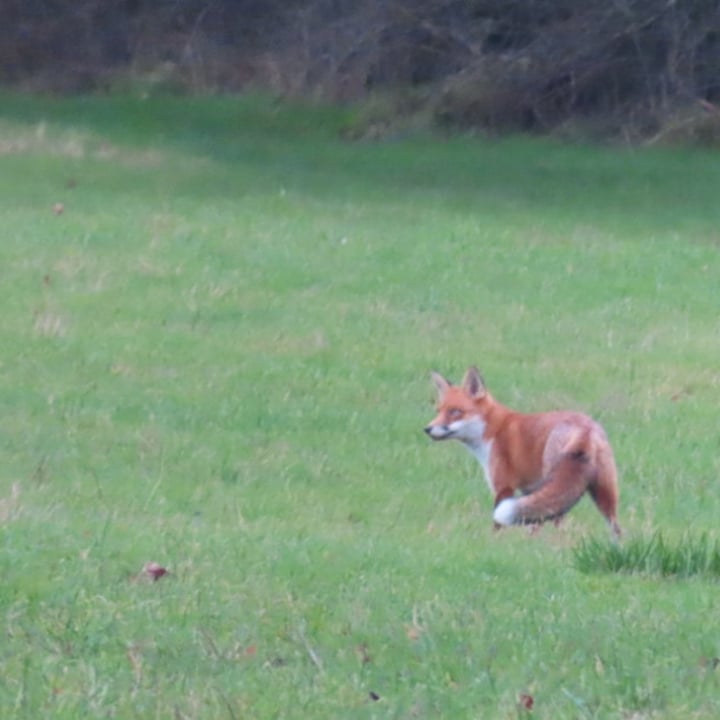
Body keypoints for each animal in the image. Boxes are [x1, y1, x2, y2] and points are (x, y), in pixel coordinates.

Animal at [424, 368, 620, 536]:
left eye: (455, 412)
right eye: (438, 411)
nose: (427, 429)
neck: (493, 431)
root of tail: (585, 429)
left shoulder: (503, 485)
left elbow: (498, 523)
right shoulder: (530, 490)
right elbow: (532, 523)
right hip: (604, 491)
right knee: (616, 527)